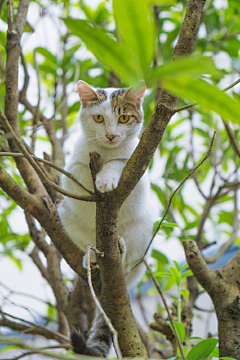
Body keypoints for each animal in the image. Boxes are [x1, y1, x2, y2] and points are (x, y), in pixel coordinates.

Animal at [57, 80, 158, 356]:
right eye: (99, 118)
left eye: (123, 118)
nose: (112, 135)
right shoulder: (71, 169)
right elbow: (79, 171)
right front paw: (93, 181)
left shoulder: (138, 169)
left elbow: (118, 163)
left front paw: (106, 178)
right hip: (64, 213)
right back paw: (91, 256)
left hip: (143, 231)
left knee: (128, 263)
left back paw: (120, 252)